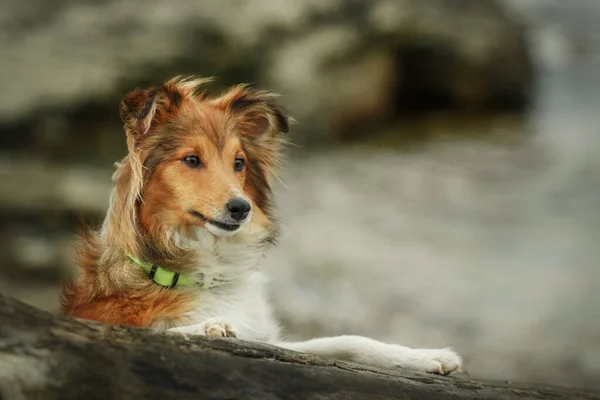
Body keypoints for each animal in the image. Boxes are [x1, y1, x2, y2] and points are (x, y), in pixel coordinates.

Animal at [61, 76, 462, 376]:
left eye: (238, 162)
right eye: (191, 160)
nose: (242, 208)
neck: (201, 272)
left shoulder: (274, 343)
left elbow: (348, 341)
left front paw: (427, 357)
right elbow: (164, 331)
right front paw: (208, 327)